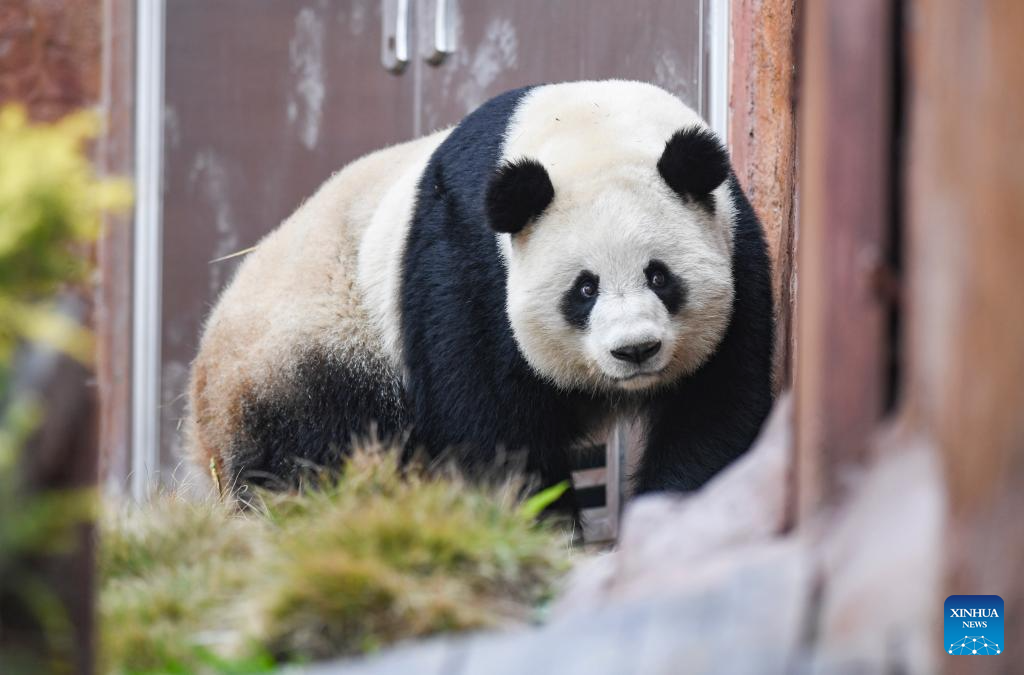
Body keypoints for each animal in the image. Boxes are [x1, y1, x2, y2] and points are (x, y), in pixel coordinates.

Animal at [186, 77, 774, 512]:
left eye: (659, 276)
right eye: (584, 288)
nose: (635, 350)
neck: (589, 128)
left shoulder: (736, 247)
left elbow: (714, 405)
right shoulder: (468, 262)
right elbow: (489, 424)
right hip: (312, 352)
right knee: (316, 454)